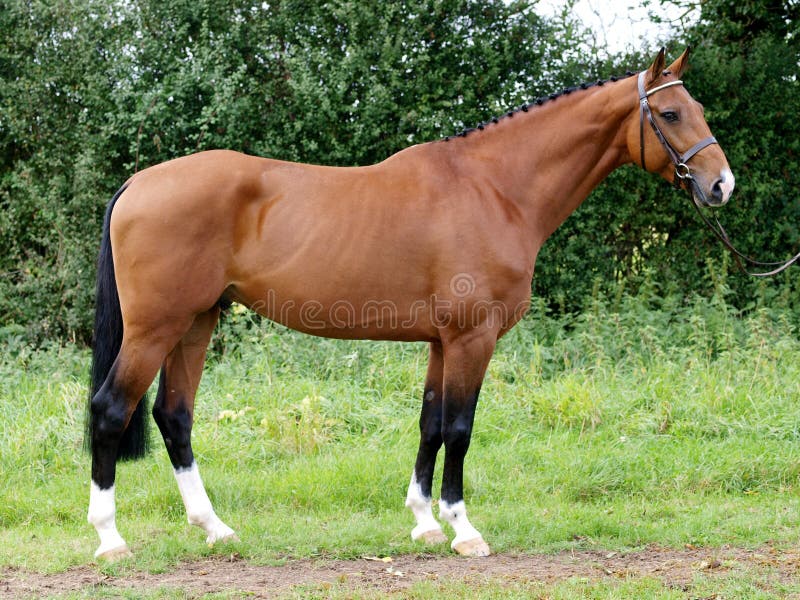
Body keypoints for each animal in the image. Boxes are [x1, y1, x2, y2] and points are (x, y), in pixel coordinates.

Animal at [87, 49, 736, 560]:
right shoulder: (473, 339)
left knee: (174, 416)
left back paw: (214, 528)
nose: (722, 185)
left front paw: (425, 522)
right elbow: (460, 428)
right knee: (111, 410)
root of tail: (139, 182)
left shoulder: (440, 343)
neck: (494, 189)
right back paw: (110, 538)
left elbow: (430, 424)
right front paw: (463, 529)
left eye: (699, 110)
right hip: (155, 329)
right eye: (670, 114)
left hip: (195, 324)